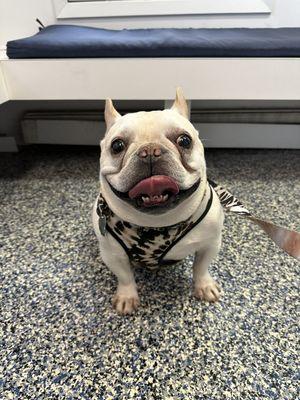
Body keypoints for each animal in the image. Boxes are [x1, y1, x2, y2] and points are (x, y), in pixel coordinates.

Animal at [92, 88, 224, 316]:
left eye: (185, 140)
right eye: (117, 146)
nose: (150, 151)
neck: (157, 223)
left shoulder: (210, 244)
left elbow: (201, 267)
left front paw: (204, 286)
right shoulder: (113, 255)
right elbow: (125, 277)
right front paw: (127, 297)